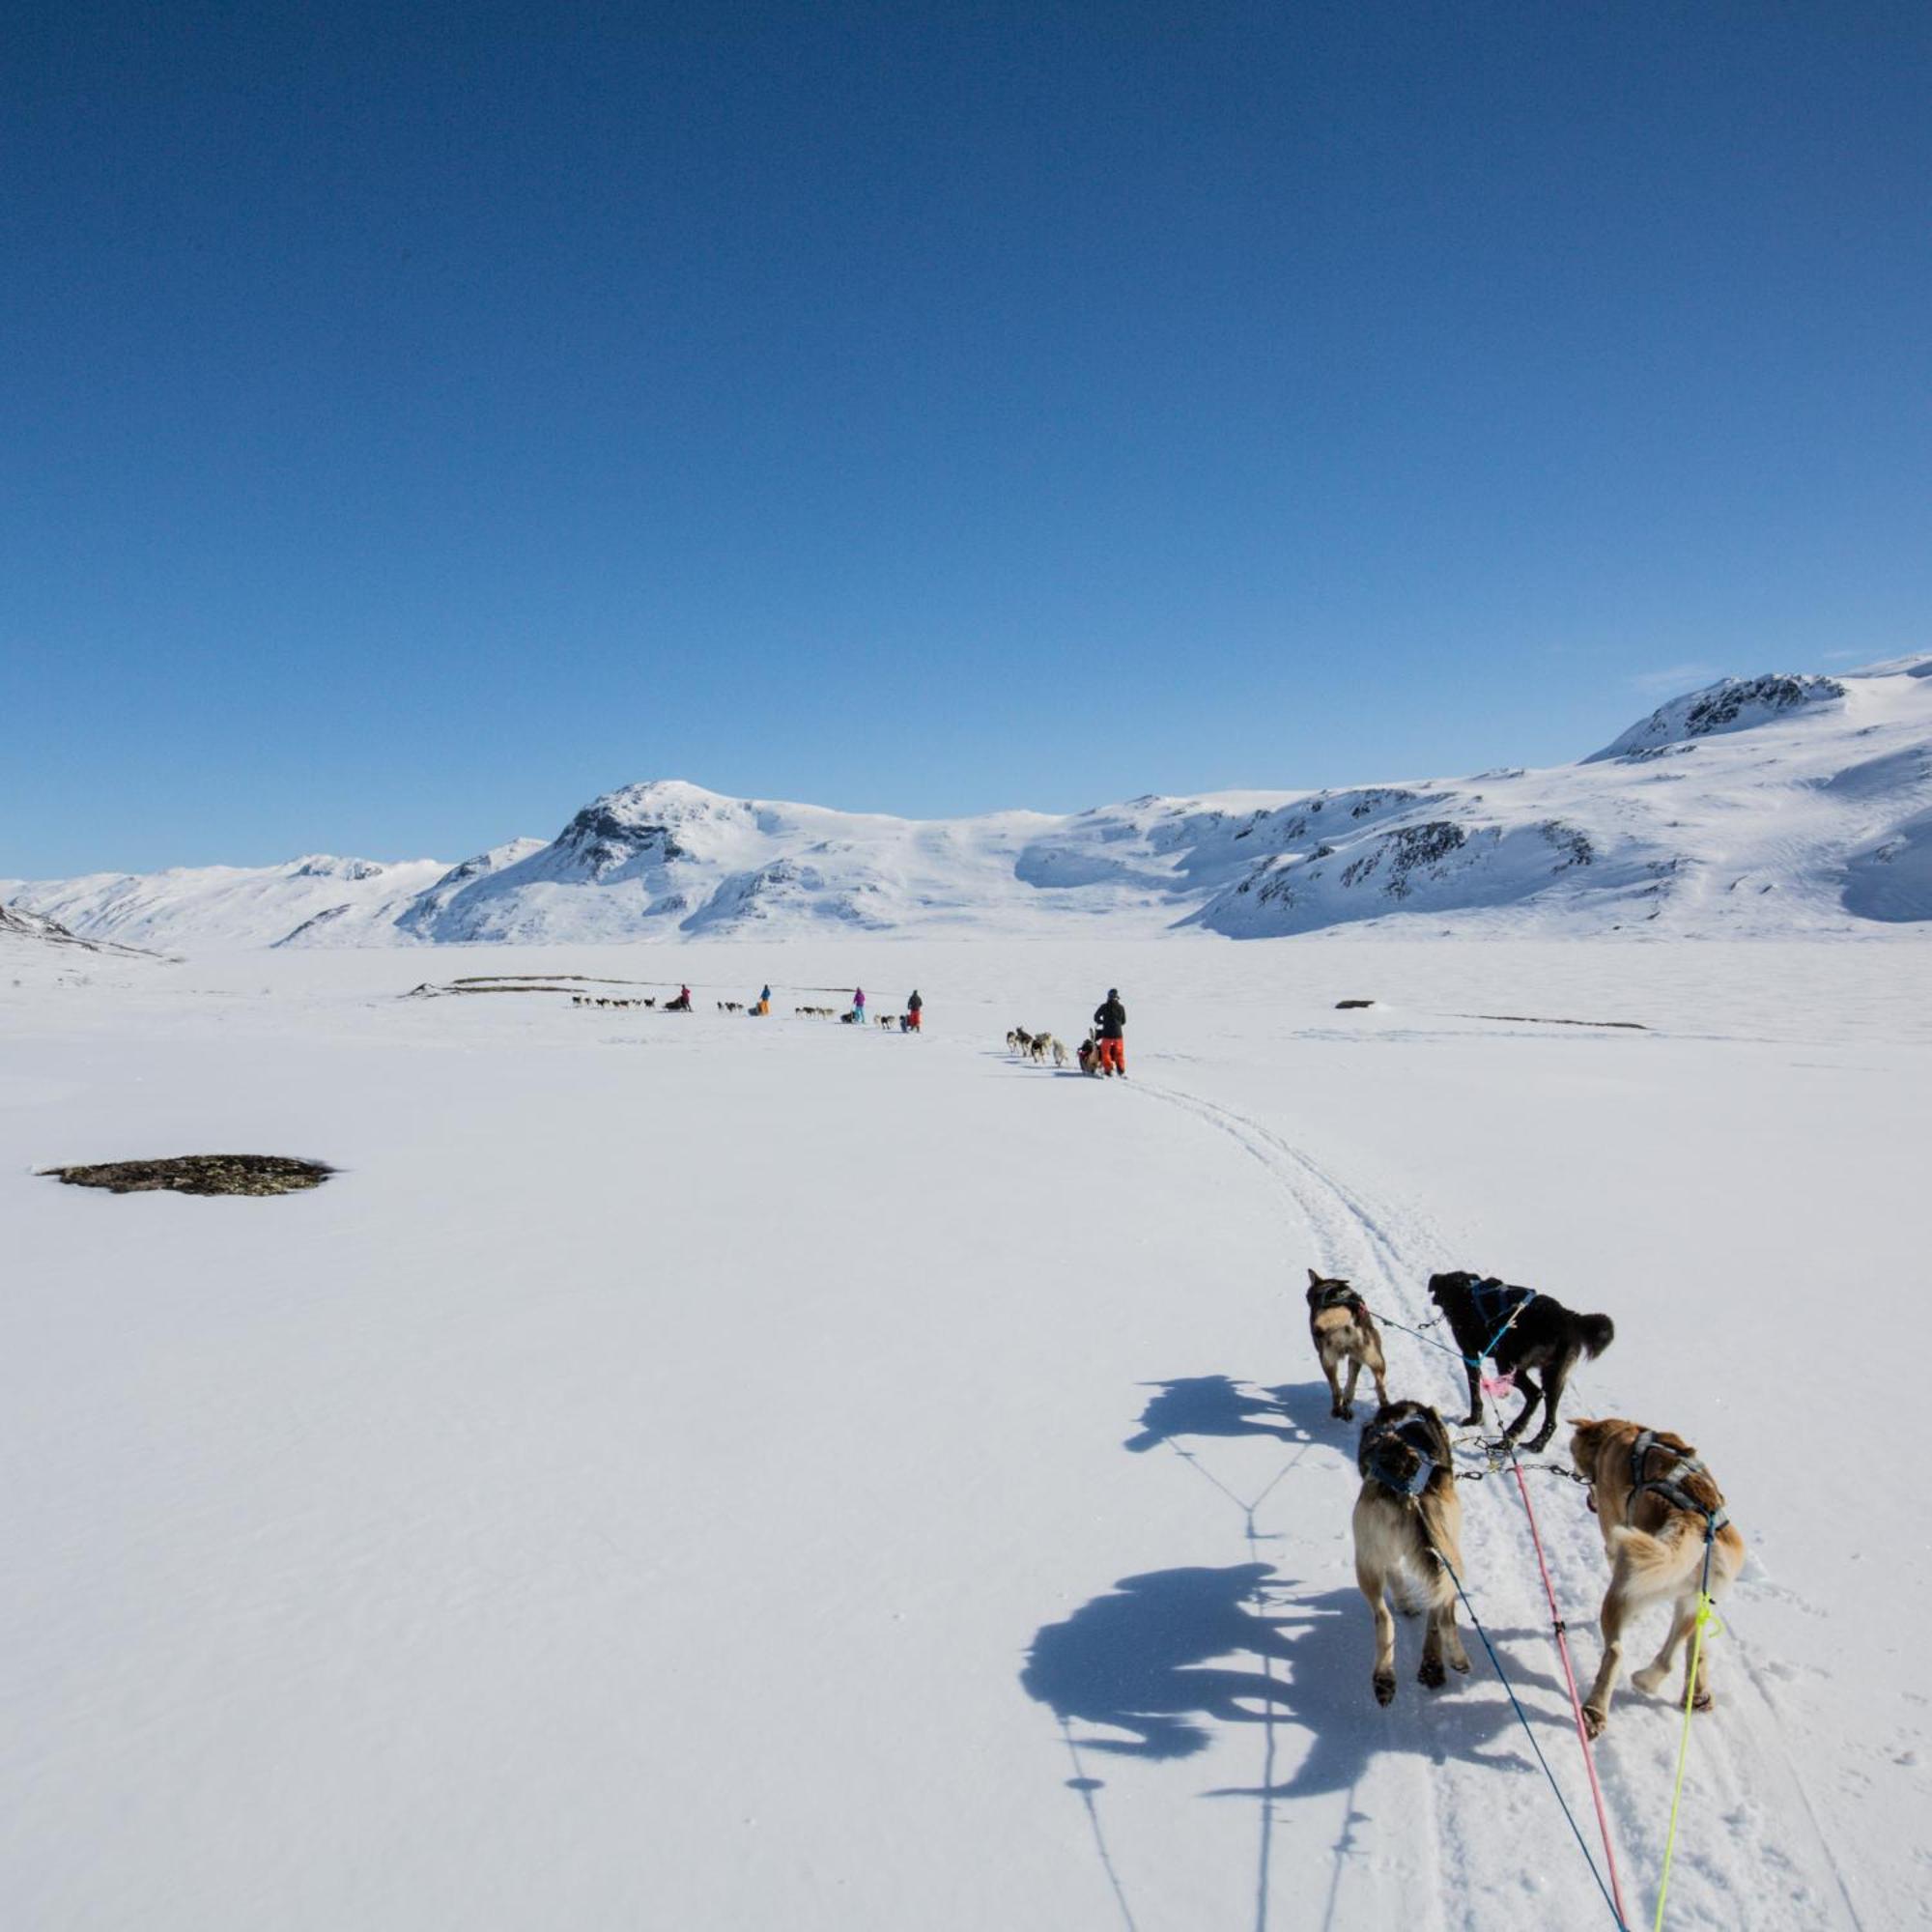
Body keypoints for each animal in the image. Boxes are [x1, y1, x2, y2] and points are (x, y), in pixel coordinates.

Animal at [1314, 1267, 1391, 1422]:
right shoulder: (1355, 1359)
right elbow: (1350, 1386)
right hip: (1376, 1360)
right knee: (1378, 1387)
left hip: (1327, 1361)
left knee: (1336, 1389)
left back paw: (1337, 1410)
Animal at [1352, 1406, 1468, 1708]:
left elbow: (1396, 1575)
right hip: (1447, 1555)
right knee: (1441, 1615)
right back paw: (1443, 1661)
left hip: (1367, 1560)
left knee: (1383, 1616)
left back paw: (1385, 1678)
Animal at [1430, 1267, 1607, 1453]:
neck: (1463, 1289)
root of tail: (1569, 1319)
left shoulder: (1469, 1354)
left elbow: (1474, 1389)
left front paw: (1474, 1419)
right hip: (1554, 1375)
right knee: (1551, 1419)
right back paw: (1535, 1443)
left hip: (1507, 1364)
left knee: (1535, 1394)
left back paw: (1509, 1437)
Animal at [1569, 1422, 1754, 1739]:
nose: (1589, 1498)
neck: (1623, 1435)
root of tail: (1695, 1522)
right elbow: (1696, 1648)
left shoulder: (1613, 1541)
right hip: (1691, 1600)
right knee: (1672, 1658)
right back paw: (1658, 1683)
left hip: (1625, 1588)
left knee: (1615, 1651)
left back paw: (1594, 1711)